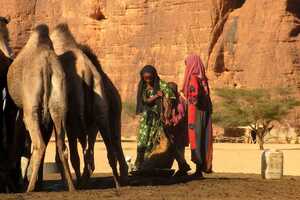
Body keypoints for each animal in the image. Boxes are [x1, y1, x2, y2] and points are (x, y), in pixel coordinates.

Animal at [6, 25, 75, 192]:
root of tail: (46, 65)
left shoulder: (22, 111)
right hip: (58, 106)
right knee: (61, 146)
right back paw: (71, 187)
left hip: (31, 109)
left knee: (39, 145)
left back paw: (29, 188)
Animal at [49, 24, 127, 188]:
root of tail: (87, 72)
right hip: (102, 109)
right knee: (110, 144)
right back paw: (118, 182)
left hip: (76, 117)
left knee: (78, 153)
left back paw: (78, 183)